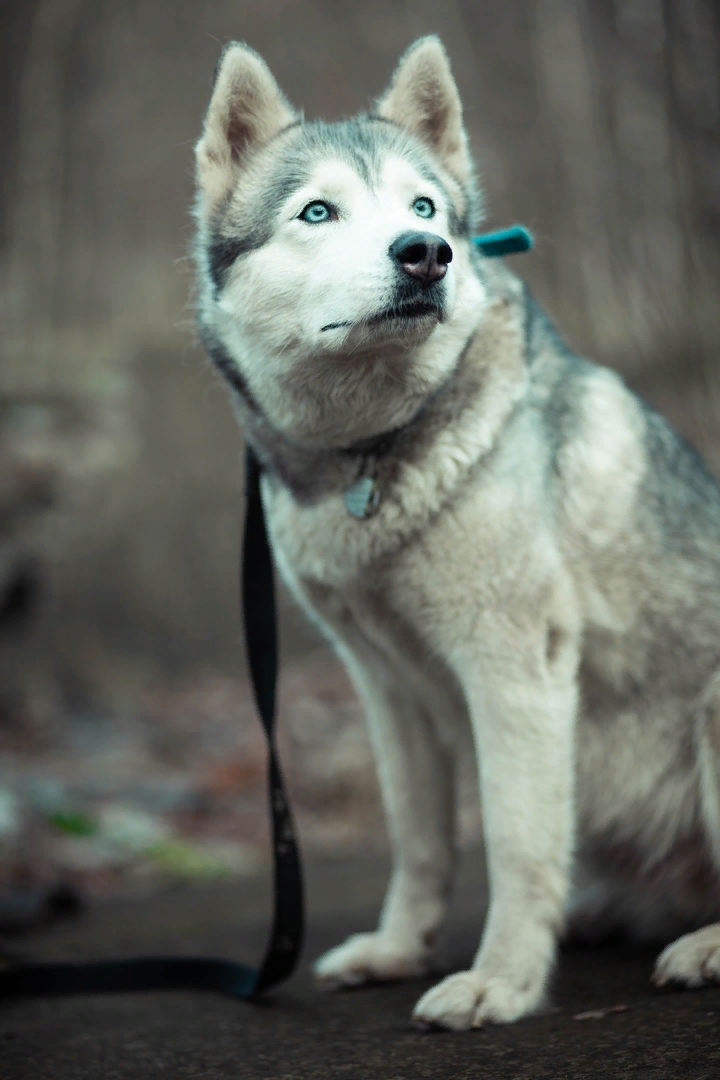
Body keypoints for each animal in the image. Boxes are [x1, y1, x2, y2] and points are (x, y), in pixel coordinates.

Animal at [191, 35, 720, 1028]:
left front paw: (501, 981)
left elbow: (513, 841)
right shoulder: (386, 687)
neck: (369, 454)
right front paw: (399, 950)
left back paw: (696, 942)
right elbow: (421, 838)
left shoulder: (514, 667)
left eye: (424, 207)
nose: (425, 255)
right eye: (316, 210)